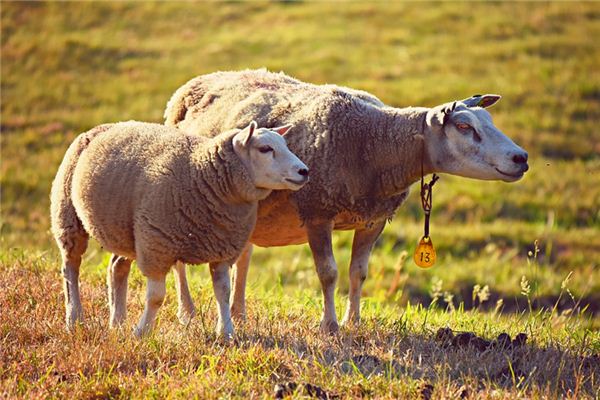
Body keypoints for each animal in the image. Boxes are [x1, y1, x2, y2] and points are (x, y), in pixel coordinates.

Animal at [50, 120, 310, 336]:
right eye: (265, 149)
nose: (304, 171)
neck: (201, 172)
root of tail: (101, 127)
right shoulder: (157, 245)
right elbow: (156, 297)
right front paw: (142, 333)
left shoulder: (223, 248)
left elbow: (223, 292)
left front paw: (226, 333)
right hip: (68, 216)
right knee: (70, 268)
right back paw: (74, 319)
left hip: (126, 231)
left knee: (116, 268)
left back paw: (117, 323)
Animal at [162, 69, 528, 334]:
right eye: (464, 126)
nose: (521, 158)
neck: (373, 143)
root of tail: (198, 80)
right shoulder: (317, 211)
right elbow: (328, 273)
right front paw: (330, 325)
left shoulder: (373, 219)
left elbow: (358, 273)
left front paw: (355, 321)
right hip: (182, 196)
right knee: (180, 261)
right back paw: (187, 312)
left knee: (244, 256)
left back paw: (238, 312)